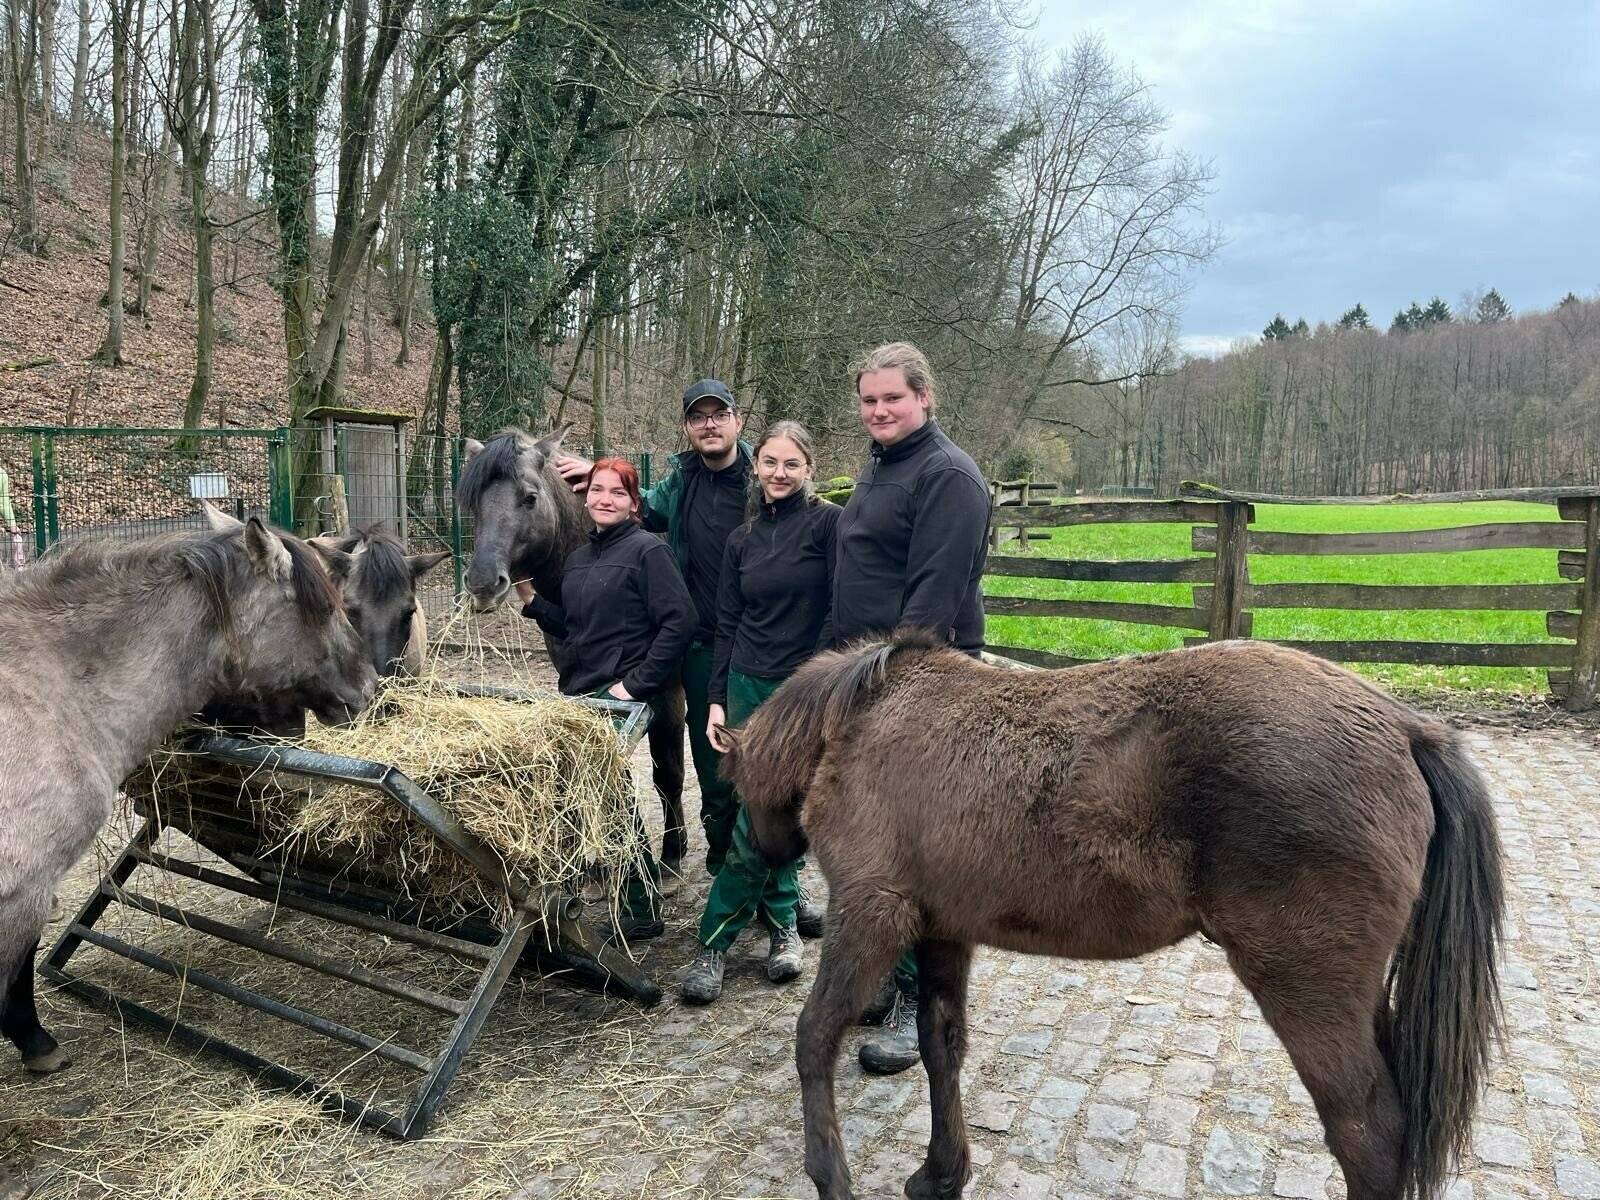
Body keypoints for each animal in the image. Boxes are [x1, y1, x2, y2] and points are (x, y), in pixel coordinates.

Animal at [460, 428, 691, 870]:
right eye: (473, 502)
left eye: (529, 497)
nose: (482, 582)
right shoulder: (579, 687)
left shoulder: (669, 694)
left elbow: (668, 774)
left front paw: (672, 852)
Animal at [732, 633, 1504, 1196]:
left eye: (737, 791)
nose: (766, 853)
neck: (861, 720)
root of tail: (1406, 727)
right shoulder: (944, 929)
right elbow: (940, 1043)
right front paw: (941, 1174)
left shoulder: (872, 915)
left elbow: (814, 1038)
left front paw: (830, 1176)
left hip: (1307, 989)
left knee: (1368, 1134)